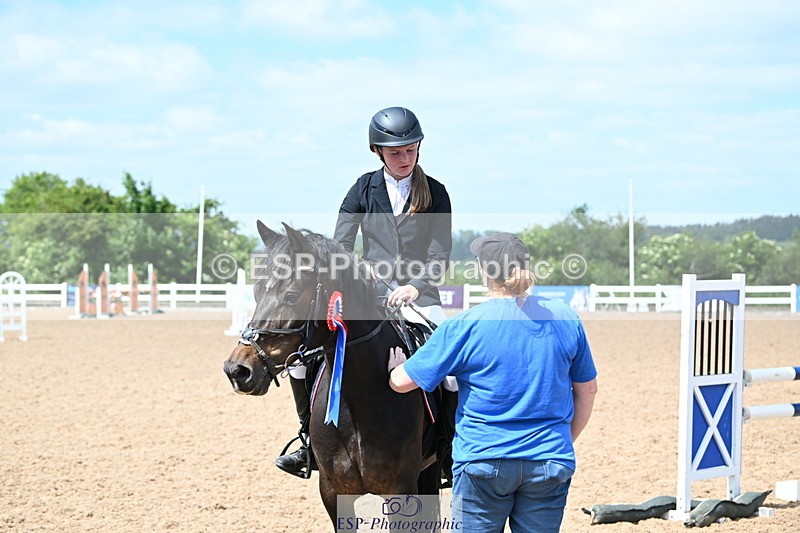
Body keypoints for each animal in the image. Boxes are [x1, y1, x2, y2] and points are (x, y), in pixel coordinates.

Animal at [223, 221, 442, 529]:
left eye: (291, 295)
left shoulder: (400, 489)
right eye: (256, 293)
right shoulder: (333, 490)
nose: (237, 370)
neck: (358, 399)